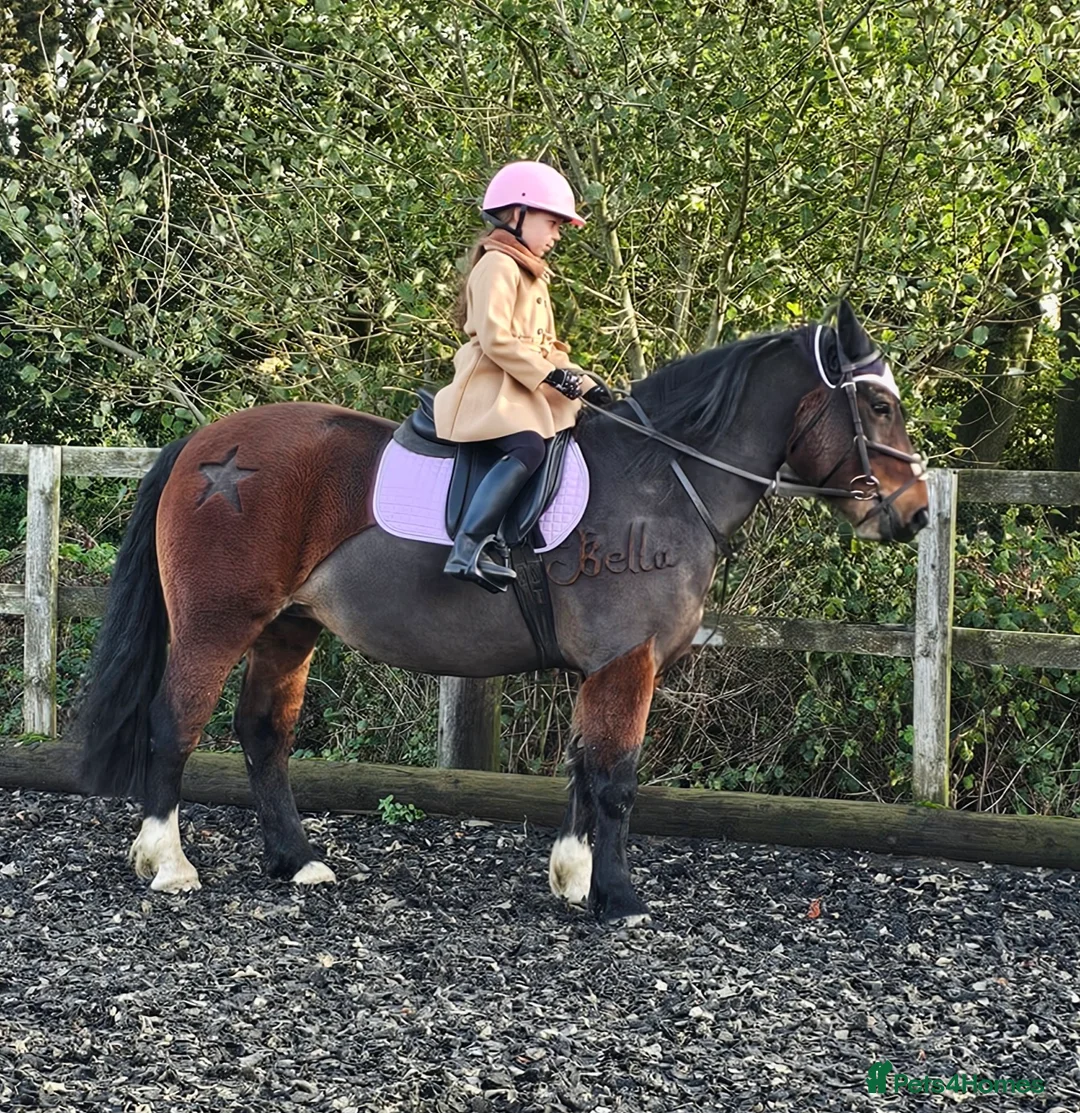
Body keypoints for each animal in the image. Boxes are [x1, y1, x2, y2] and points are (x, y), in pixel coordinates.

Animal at [71, 300, 928, 924]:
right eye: (878, 404)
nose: (916, 513)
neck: (663, 478)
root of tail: (204, 445)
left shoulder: (601, 668)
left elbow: (584, 768)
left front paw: (574, 877)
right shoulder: (629, 660)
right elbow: (618, 778)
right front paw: (619, 898)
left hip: (290, 627)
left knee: (263, 734)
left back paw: (296, 859)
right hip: (217, 624)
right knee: (174, 723)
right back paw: (168, 863)